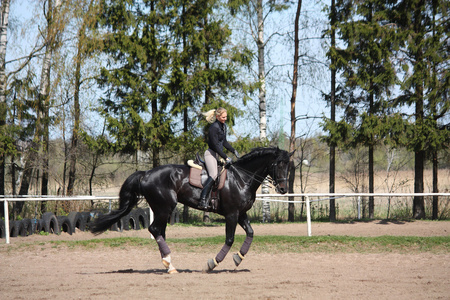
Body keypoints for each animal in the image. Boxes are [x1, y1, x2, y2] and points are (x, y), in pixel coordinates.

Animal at [92, 146, 296, 274]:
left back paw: (169, 264)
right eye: (278, 164)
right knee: (155, 230)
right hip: (164, 208)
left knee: (160, 232)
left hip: (163, 210)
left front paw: (238, 258)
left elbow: (251, 233)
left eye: (289, 165)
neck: (242, 178)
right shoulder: (231, 214)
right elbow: (229, 239)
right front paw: (212, 263)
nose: (283, 189)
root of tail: (146, 174)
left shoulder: (241, 214)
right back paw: (170, 265)